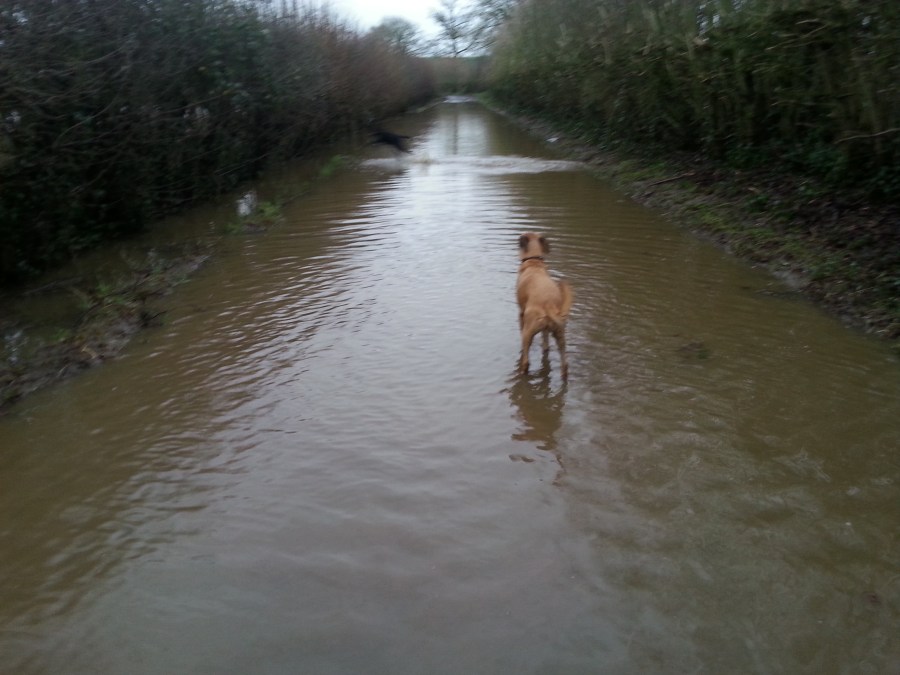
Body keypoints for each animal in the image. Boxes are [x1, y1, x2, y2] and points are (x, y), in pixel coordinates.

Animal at [516, 233, 573, 378]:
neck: (534, 261)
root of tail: (549, 304)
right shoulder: (546, 330)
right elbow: (545, 341)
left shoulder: (520, 312)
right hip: (560, 334)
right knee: (565, 363)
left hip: (528, 332)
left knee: (526, 361)